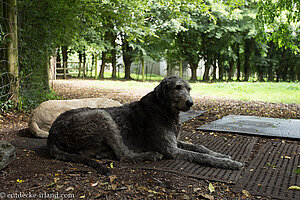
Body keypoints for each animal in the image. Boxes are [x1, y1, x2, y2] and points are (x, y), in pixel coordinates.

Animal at [47, 75, 244, 175]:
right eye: (177, 87)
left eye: (189, 89)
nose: (190, 103)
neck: (163, 109)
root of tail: (51, 136)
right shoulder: (171, 149)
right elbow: (201, 156)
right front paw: (228, 163)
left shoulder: (175, 141)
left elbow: (200, 147)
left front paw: (222, 155)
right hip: (101, 116)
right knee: (124, 155)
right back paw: (150, 154)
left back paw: (104, 153)